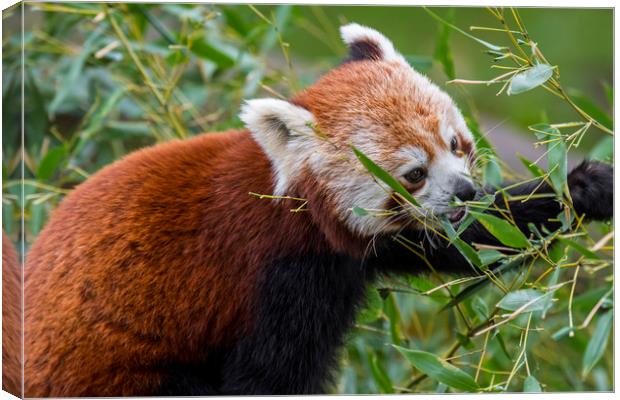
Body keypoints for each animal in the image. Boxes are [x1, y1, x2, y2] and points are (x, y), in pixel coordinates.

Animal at [19, 23, 612, 396]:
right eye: (414, 174)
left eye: (456, 143)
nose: (465, 190)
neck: (295, 207)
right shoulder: (277, 276)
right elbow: (267, 379)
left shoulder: (365, 246)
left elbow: (472, 240)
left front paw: (583, 187)